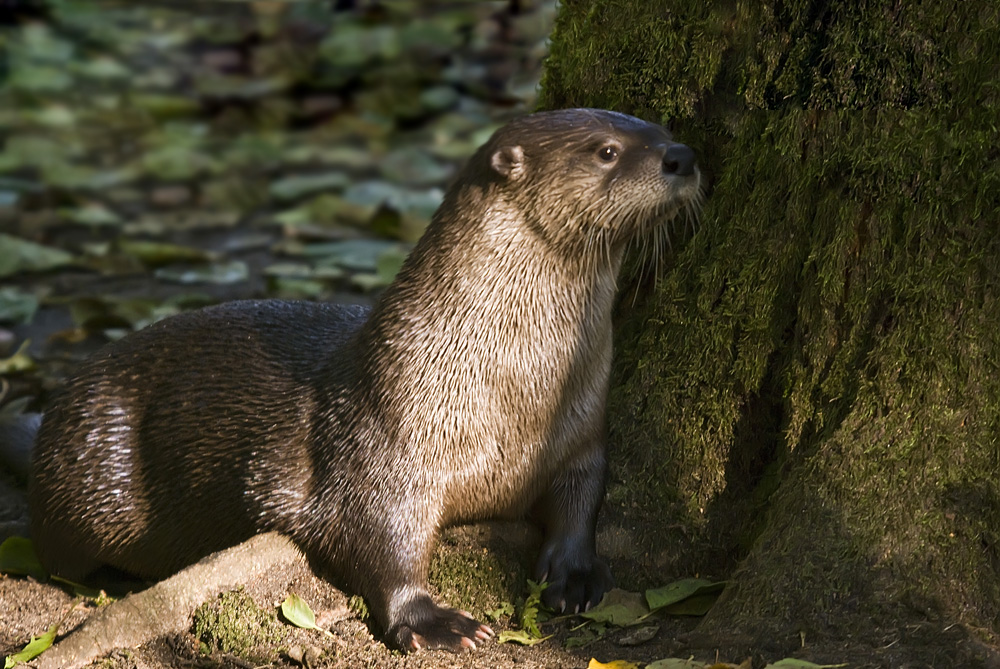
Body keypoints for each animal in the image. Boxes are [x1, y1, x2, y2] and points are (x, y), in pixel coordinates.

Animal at [23, 108, 700, 648]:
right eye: (606, 151)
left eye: (662, 129)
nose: (684, 156)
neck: (512, 393)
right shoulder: (387, 446)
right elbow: (378, 539)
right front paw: (432, 621)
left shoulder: (582, 432)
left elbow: (582, 499)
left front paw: (576, 573)